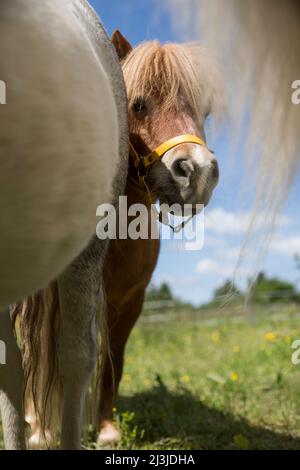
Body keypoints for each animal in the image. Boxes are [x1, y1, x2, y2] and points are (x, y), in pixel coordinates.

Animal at [20, 31, 220, 446]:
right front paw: (40, 428)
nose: (198, 173)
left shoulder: (128, 303)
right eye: (138, 104)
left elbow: (114, 361)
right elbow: (39, 351)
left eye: (204, 111)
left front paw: (107, 429)